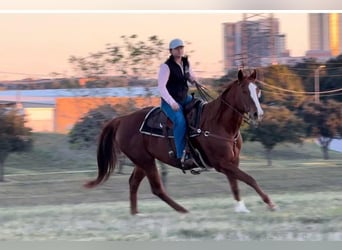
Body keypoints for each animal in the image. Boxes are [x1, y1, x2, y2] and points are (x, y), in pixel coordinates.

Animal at [84, 69, 276, 214]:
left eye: (258, 91)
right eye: (244, 91)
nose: (258, 114)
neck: (219, 123)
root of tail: (122, 119)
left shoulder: (231, 162)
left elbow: (235, 184)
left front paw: (241, 208)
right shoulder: (222, 163)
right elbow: (250, 179)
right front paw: (270, 203)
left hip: (143, 161)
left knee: (134, 183)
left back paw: (135, 214)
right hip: (145, 161)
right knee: (157, 188)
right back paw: (183, 211)